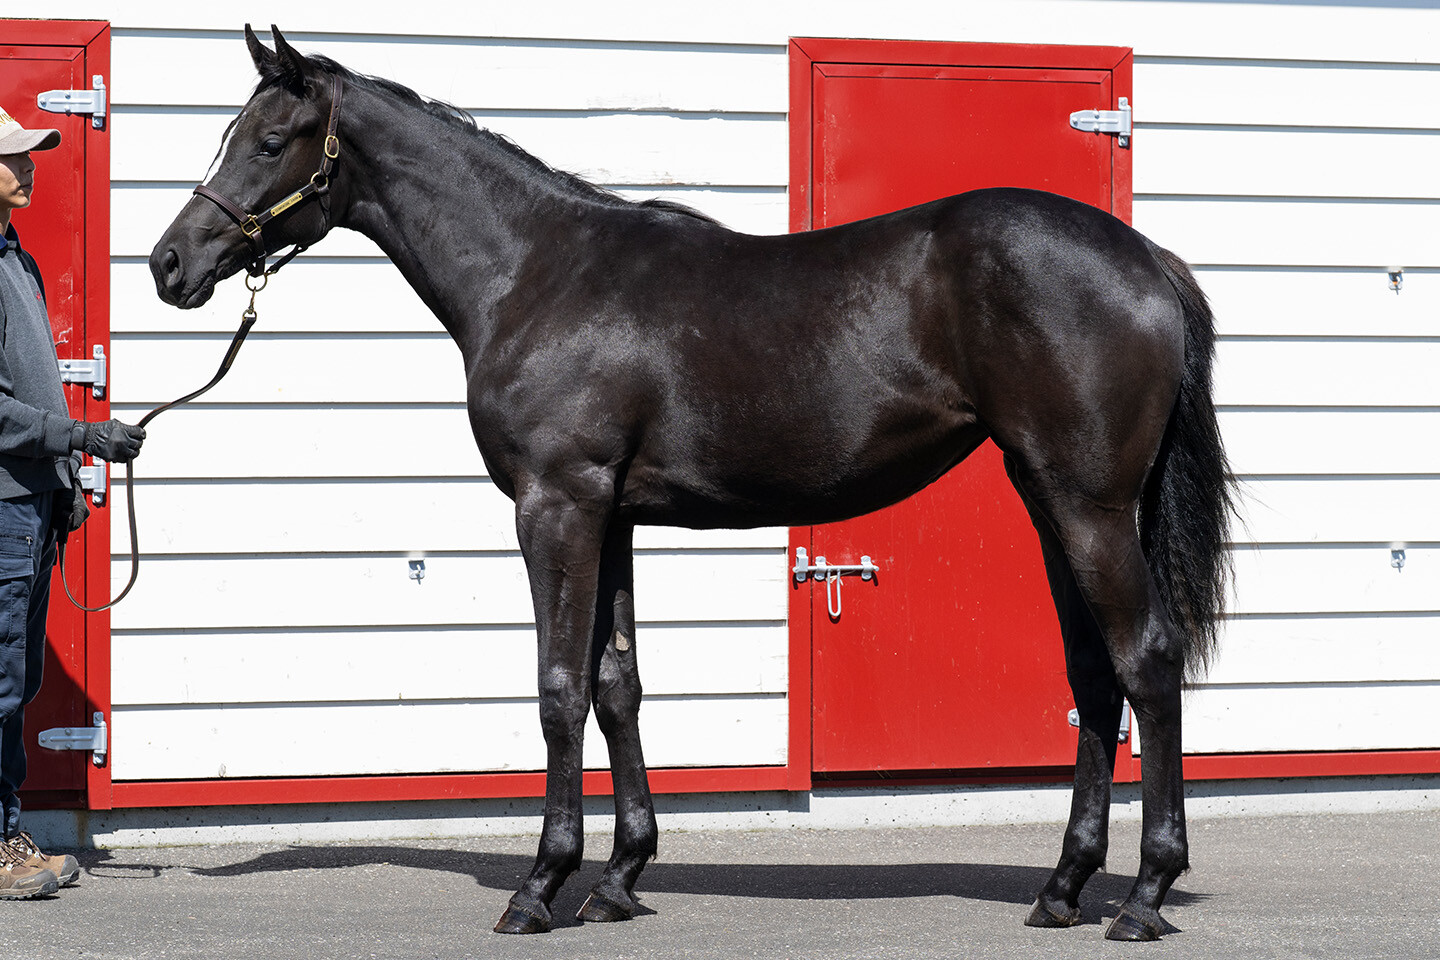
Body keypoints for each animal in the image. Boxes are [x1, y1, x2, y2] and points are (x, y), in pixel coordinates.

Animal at [150, 26, 1233, 942]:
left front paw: (540, 886)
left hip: (1089, 507)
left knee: (1146, 661)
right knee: (1094, 675)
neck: (537, 272)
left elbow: (558, 690)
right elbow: (618, 685)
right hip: (1052, 502)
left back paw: (1144, 894)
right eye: (231, 132)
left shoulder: (557, 505)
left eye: (273, 138)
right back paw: (1063, 888)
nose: (170, 263)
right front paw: (621, 878)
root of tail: (1148, 258)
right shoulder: (612, 516)